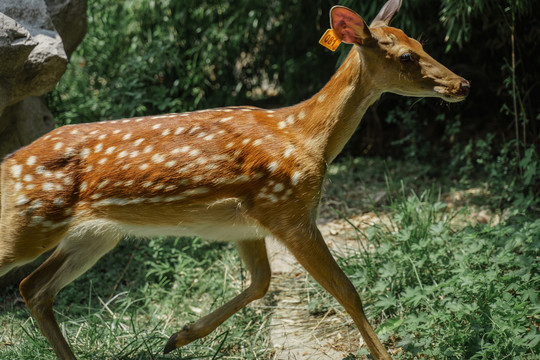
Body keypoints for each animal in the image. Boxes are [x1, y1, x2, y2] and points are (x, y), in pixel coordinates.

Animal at [0, 1, 468, 358]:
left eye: (421, 43)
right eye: (405, 57)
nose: (462, 84)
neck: (305, 136)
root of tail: (9, 163)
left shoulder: (248, 224)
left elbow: (261, 283)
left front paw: (178, 337)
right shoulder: (288, 209)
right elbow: (347, 291)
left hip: (96, 235)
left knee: (34, 288)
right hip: (31, 224)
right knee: (26, 280)